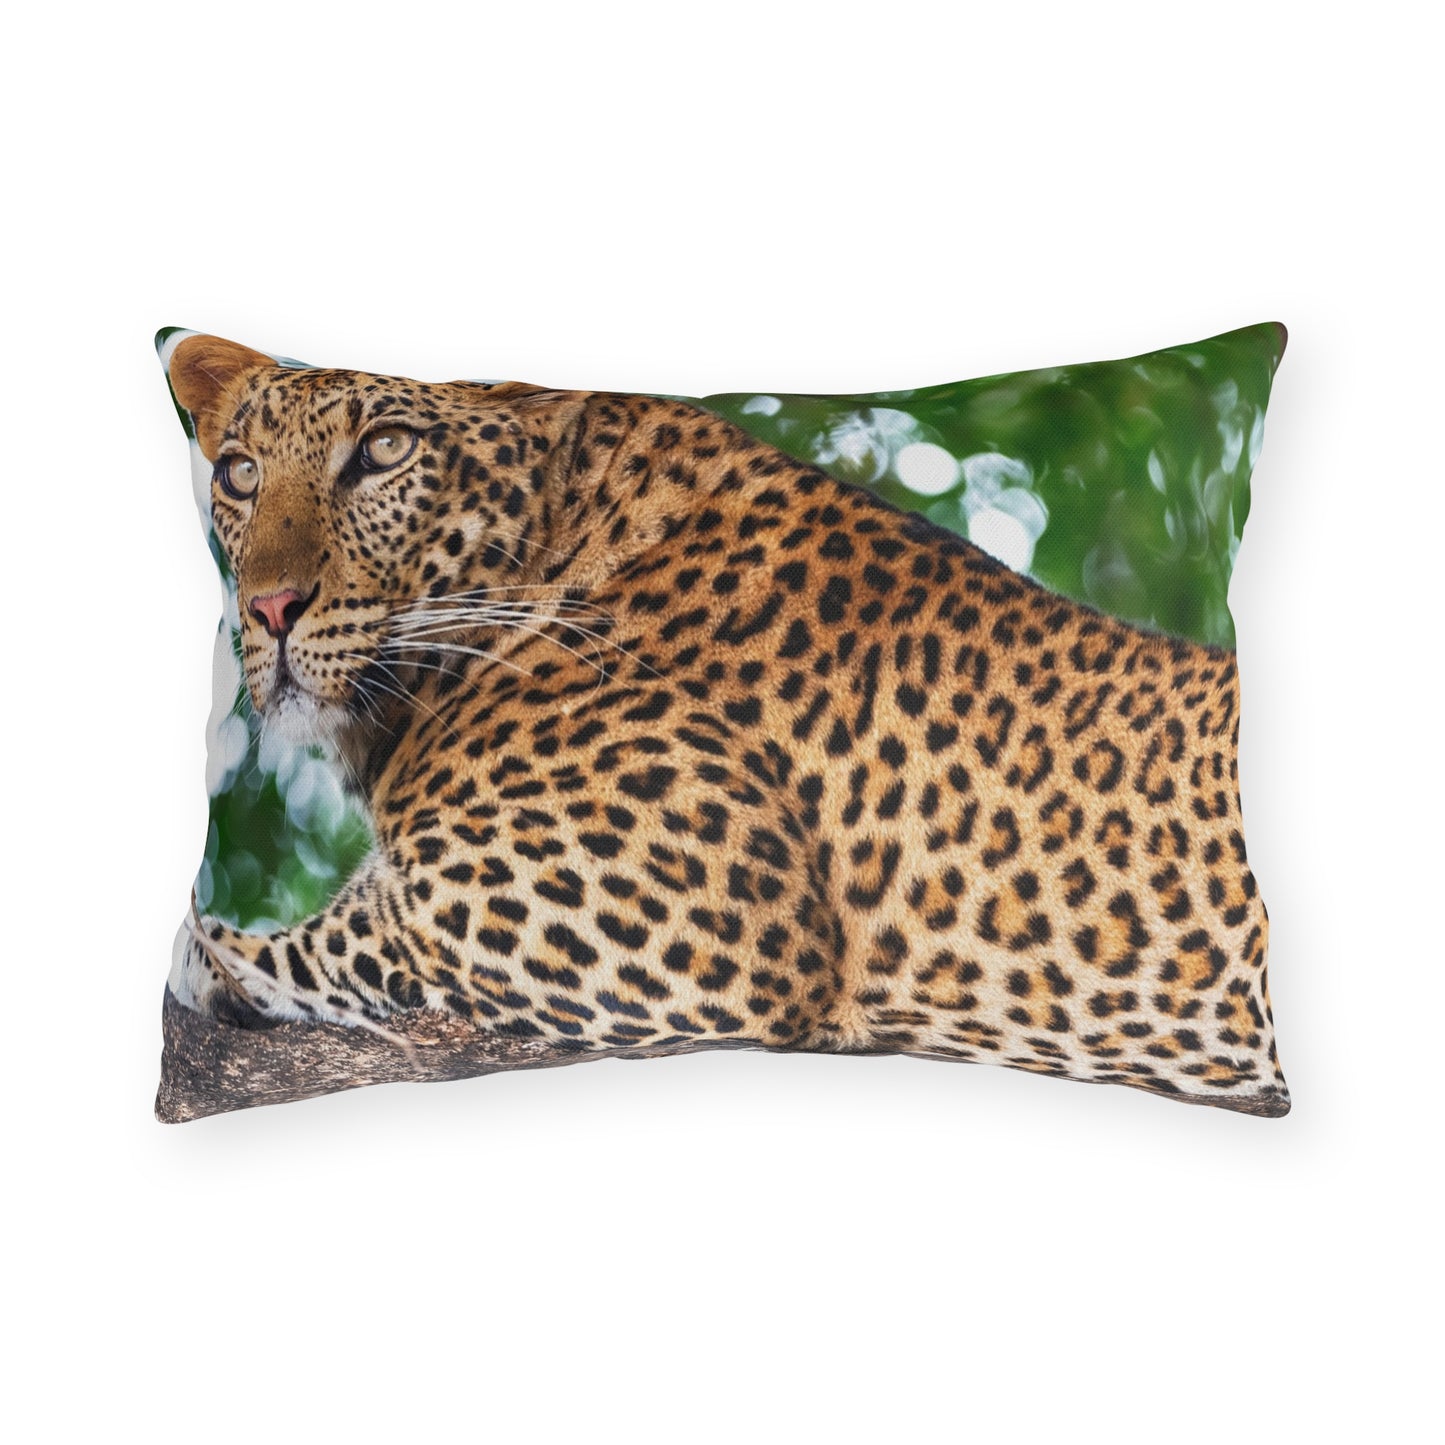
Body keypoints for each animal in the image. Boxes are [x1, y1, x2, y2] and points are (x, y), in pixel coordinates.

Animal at [165, 332, 1288, 1115]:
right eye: (237, 473)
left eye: (387, 449)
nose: (267, 610)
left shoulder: (689, 903)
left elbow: (326, 936)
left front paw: (212, 957)